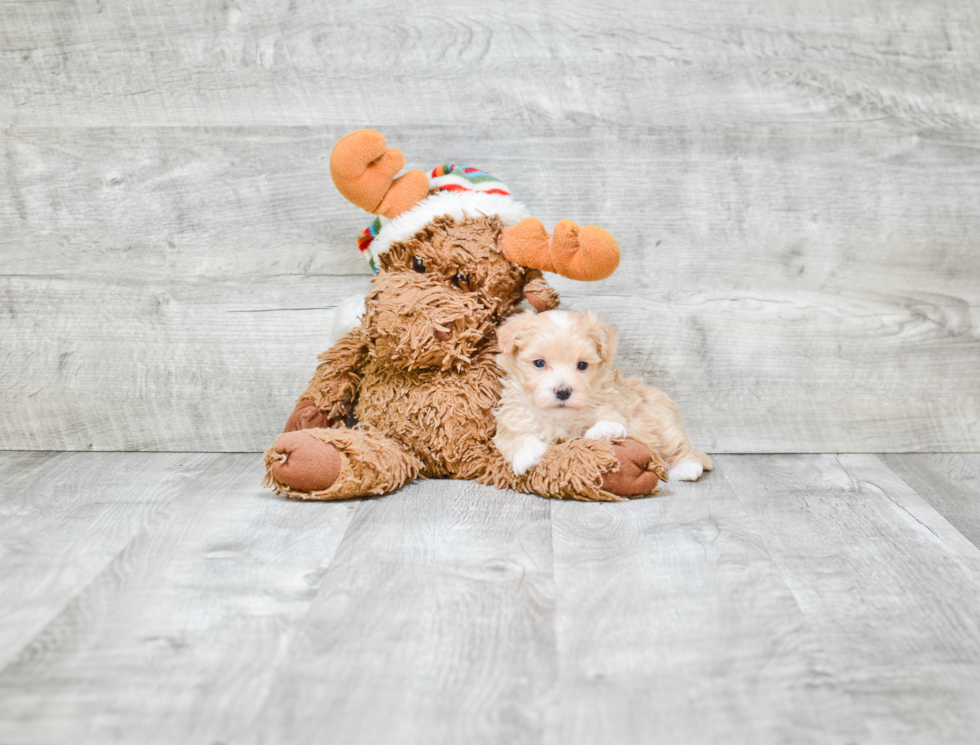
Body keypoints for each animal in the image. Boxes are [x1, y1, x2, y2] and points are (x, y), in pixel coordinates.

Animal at [490, 308, 712, 482]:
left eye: (582, 365)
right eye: (539, 363)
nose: (563, 391)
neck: (560, 416)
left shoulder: (615, 402)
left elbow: (613, 417)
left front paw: (605, 430)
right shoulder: (511, 422)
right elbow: (518, 438)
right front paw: (527, 455)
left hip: (664, 424)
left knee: (678, 446)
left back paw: (687, 467)